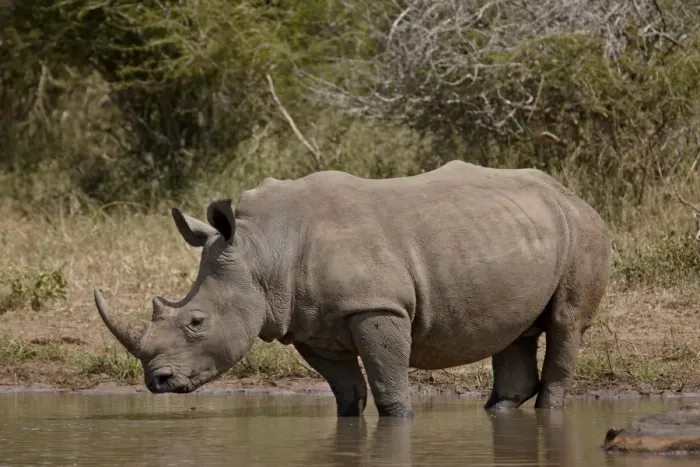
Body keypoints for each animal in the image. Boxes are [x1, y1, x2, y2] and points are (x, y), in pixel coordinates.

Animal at [94, 160, 612, 418]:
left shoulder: (376, 307)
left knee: (565, 324)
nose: (157, 382)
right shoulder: (305, 322)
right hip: (513, 231)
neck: (263, 251)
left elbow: (388, 387)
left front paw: (398, 422)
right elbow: (346, 392)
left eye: (197, 322)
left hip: (584, 229)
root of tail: (571, 194)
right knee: (514, 330)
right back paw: (500, 414)